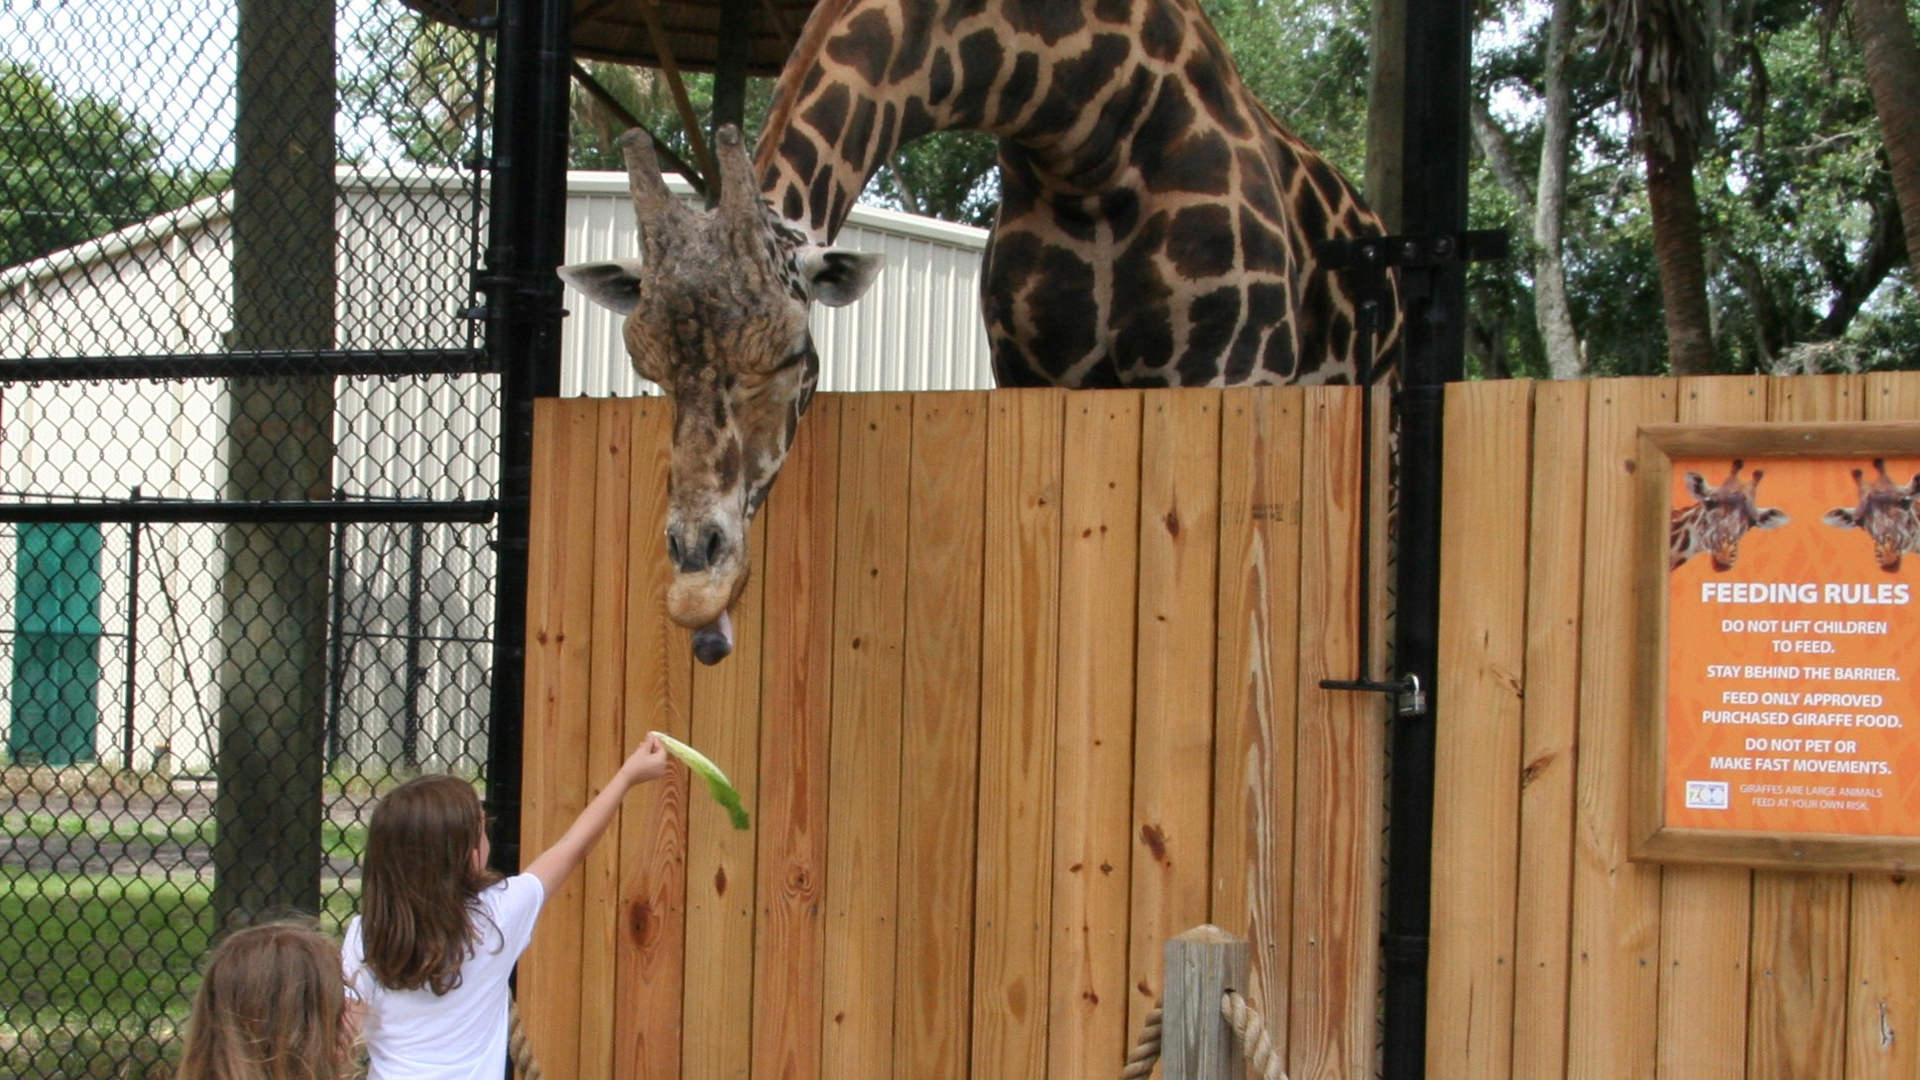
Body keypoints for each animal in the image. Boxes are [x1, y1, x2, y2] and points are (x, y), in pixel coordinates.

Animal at [559, 0, 1402, 663]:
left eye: (793, 354)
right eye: (651, 368)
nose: (698, 586)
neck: (1088, 126)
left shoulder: (1232, 369)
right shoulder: (1032, 376)